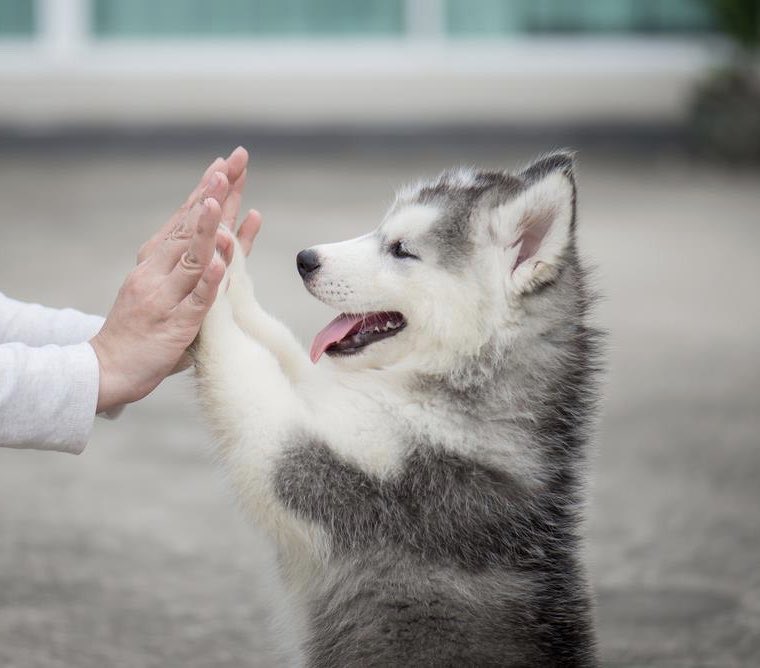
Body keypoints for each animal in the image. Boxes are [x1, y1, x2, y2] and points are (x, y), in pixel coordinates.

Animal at [194, 151, 600, 668]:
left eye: (402, 249)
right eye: (380, 229)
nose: (305, 259)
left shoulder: (340, 476)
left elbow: (249, 372)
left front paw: (205, 283)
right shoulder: (329, 402)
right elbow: (281, 347)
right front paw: (229, 262)